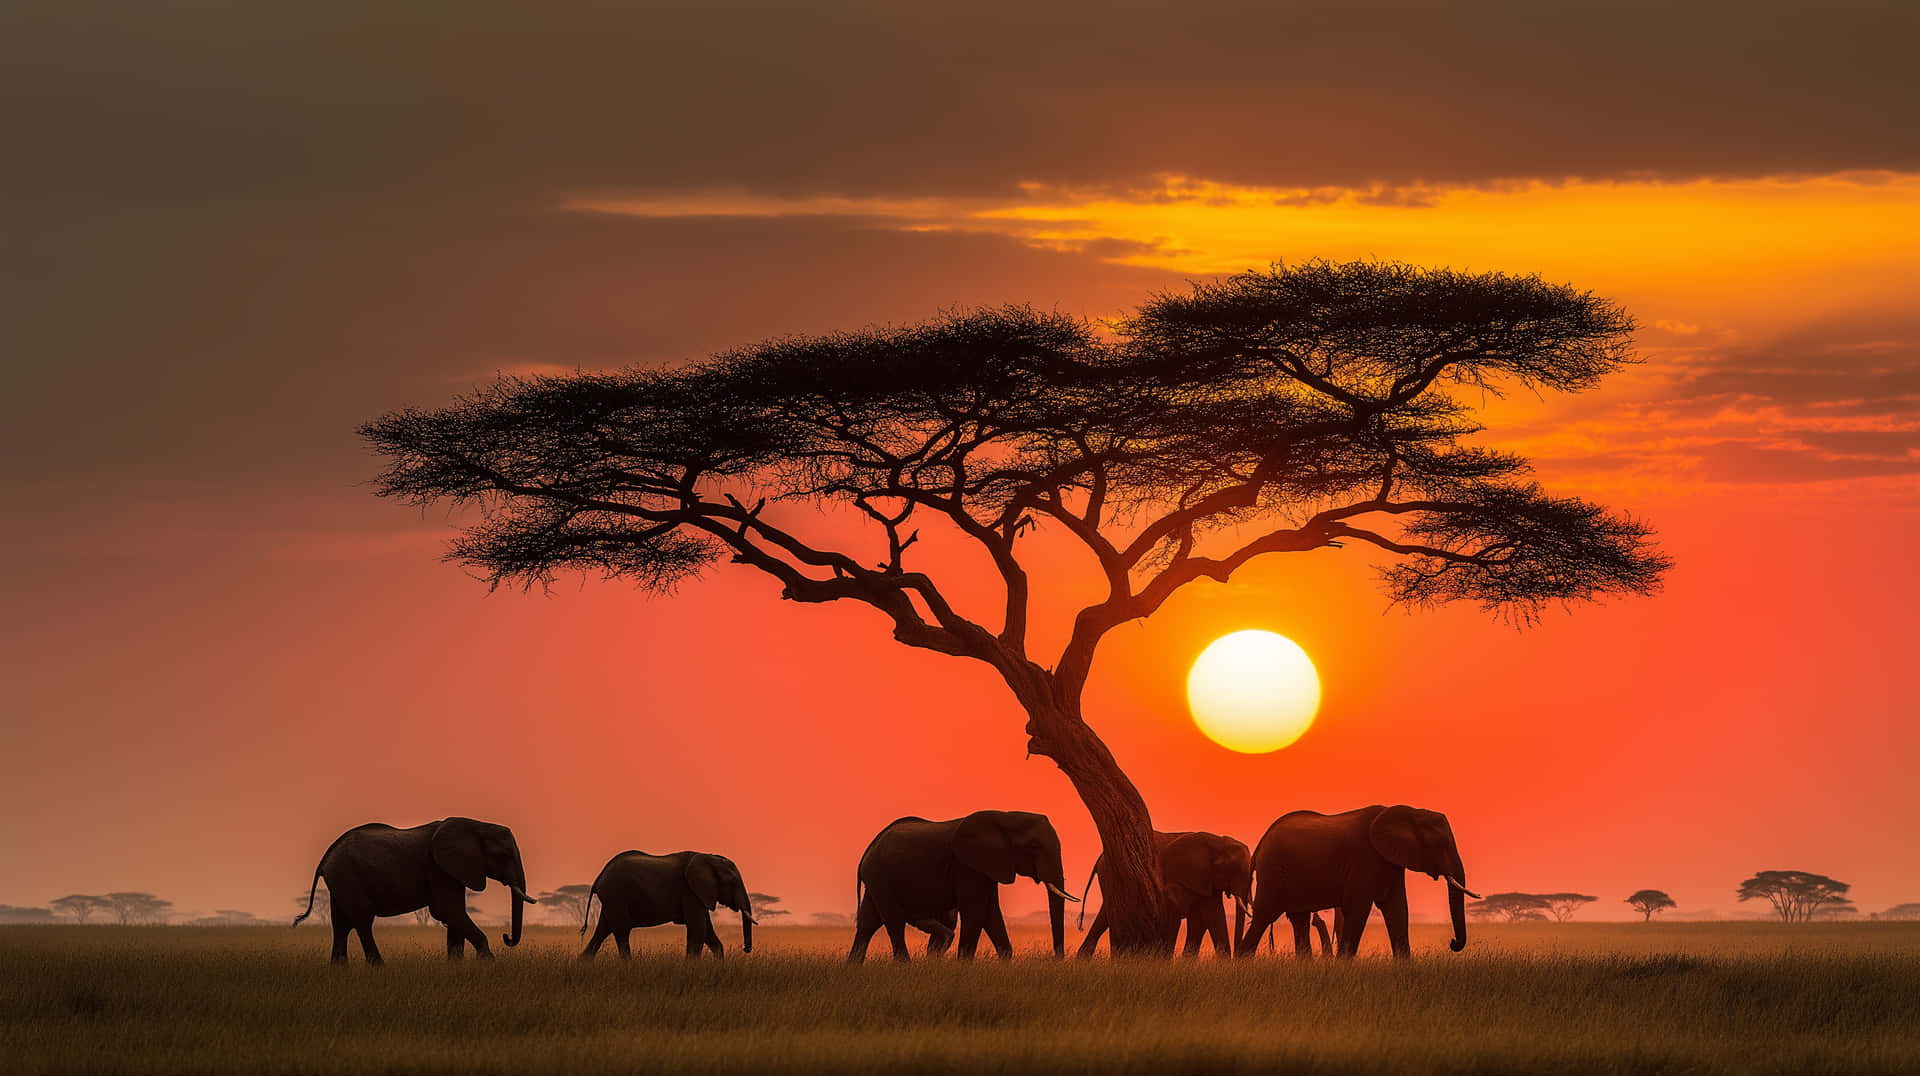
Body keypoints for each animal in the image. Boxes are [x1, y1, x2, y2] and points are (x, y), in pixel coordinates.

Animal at [293, 817, 536, 965]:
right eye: (504, 855)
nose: (506, 937)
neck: (476, 825)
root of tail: (325, 857)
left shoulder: (451, 869)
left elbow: (453, 915)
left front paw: (456, 966)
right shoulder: (437, 867)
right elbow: (448, 910)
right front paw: (489, 963)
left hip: (340, 882)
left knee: (341, 923)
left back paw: (339, 970)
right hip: (348, 876)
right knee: (362, 920)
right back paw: (379, 968)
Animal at [579, 850, 755, 959]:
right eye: (732, 882)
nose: (746, 949)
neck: (708, 857)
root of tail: (599, 876)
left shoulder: (699, 894)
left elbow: (707, 932)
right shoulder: (689, 891)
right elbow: (698, 931)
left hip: (611, 899)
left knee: (603, 930)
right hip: (615, 894)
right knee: (622, 932)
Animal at [849, 811, 1078, 961]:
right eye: (1033, 846)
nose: (1057, 960)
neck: (1004, 816)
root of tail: (869, 848)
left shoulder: (988, 866)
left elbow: (991, 914)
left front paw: (1004, 961)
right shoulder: (967, 866)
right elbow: (976, 912)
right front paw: (964, 967)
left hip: (877, 878)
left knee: (868, 922)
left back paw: (852, 968)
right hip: (880, 875)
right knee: (893, 921)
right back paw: (905, 966)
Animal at [1076, 830, 1252, 958]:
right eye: (1234, 870)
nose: (1237, 957)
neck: (1218, 842)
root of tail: (1101, 857)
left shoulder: (1207, 881)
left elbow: (1213, 915)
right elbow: (1211, 916)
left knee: (1104, 915)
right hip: (1112, 877)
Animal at [1235, 805, 1476, 959]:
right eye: (1441, 842)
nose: (1452, 943)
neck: (1410, 812)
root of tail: (1260, 845)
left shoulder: (1391, 862)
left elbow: (1397, 909)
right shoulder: (1364, 859)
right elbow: (1359, 908)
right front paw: (1343, 967)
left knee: (1298, 919)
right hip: (1273, 873)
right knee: (1264, 916)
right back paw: (1242, 962)